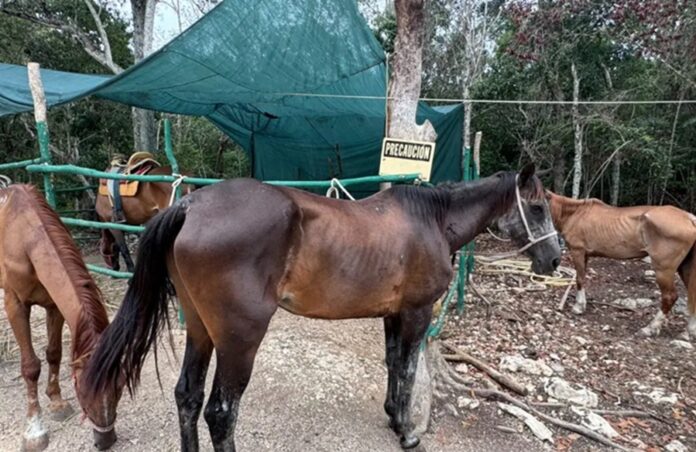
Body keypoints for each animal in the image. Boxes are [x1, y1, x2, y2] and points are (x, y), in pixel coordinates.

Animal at [0, 184, 122, 451]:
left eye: (119, 387)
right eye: (83, 390)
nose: (105, 440)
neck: (25, 238)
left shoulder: (53, 305)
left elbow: (53, 354)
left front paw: (57, 402)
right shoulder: (15, 305)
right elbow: (31, 366)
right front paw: (34, 430)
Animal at [83, 164, 560, 451]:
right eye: (537, 207)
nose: (554, 259)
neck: (431, 221)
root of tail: (189, 203)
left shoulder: (393, 314)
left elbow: (392, 364)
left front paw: (392, 416)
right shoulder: (417, 313)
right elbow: (407, 369)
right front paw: (408, 432)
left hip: (200, 329)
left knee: (188, 396)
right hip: (239, 341)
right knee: (220, 412)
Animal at [547, 191, 696, 338]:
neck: (575, 214)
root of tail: (689, 218)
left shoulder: (577, 251)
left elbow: (579, 279)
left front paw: (578, 307)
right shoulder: (585, 255)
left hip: (664, 270)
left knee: (669, 297)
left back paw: (650, 328)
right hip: (684, 267)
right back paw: (689, 331)